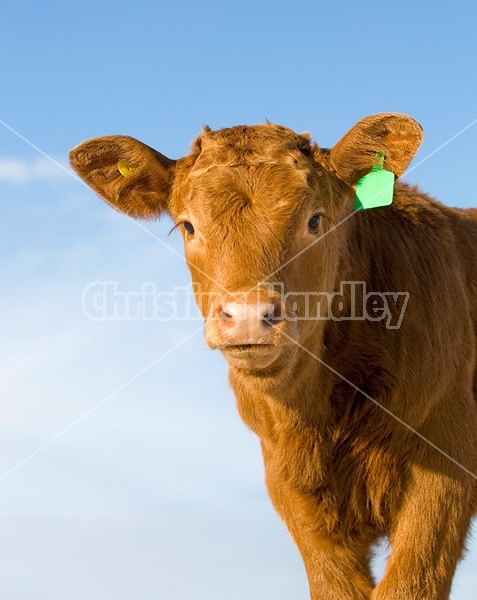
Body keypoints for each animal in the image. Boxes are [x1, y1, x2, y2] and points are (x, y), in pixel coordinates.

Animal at [69, 113, 476, 600]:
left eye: (315, 221)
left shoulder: (445, 466)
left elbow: (410, 582)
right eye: (188, 226)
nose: (246, 316)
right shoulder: (290, 488)